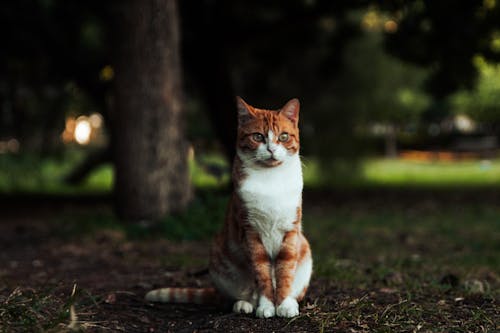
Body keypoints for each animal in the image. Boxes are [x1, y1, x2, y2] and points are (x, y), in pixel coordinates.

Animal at [144, 97, 312, 318]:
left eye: (283, 136)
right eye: (258, 136)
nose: (271, 149)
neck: (271, 179)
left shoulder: (290, 230)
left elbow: (284, 271)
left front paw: (283, 304)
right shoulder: (250, 231)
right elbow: (262, 273)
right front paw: (267, 306)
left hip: (305, 250)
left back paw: (290, 301)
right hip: (217, 255)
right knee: (236, 296)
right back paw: (244, 304)